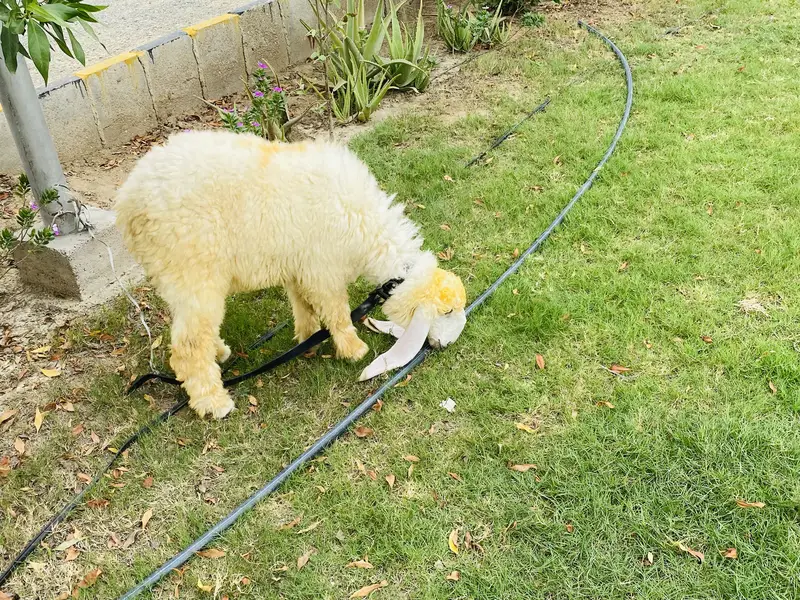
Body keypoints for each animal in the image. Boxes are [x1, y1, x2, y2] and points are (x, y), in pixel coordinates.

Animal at [115, 130, 467, 419]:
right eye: (447, 312)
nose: (444, 346)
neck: (370, 231)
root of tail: (128, 204)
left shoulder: (302, 266)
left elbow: (304, 305)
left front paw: (308, 339)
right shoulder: (323, 269)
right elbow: (337, 312)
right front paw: (353, 350)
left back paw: (220, 352)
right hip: (194, 272)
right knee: (188, 346)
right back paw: (214, 403)